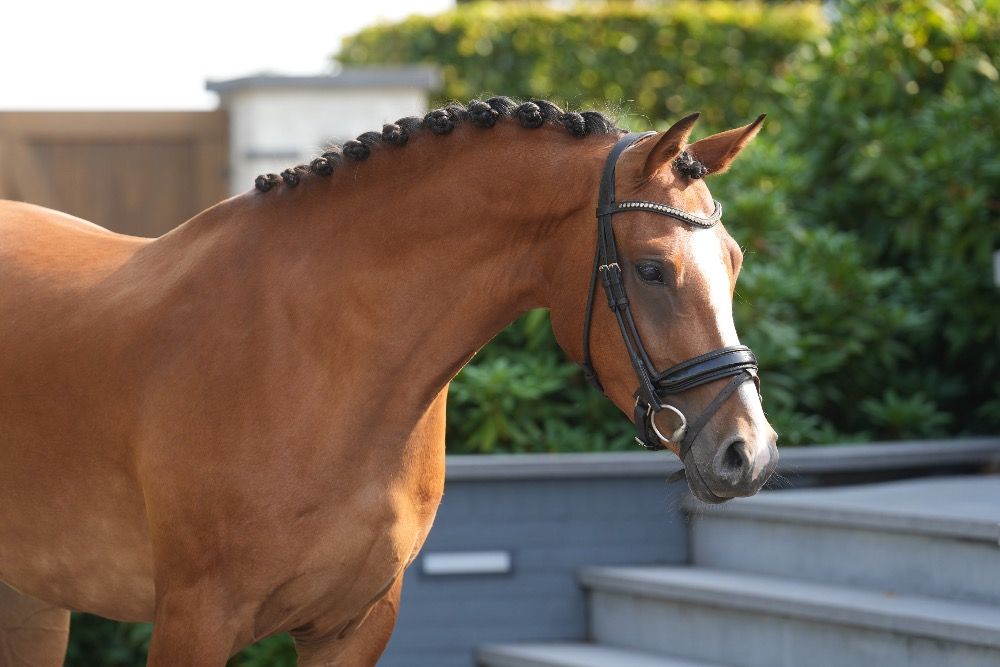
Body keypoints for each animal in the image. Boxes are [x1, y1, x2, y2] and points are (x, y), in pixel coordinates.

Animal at [0, 98, 777, 666]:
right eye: (652, 269)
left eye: (735, 260)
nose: (749, 450)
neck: (315, 358)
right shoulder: (194, 622)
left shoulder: (354, 624)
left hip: (33, 601)